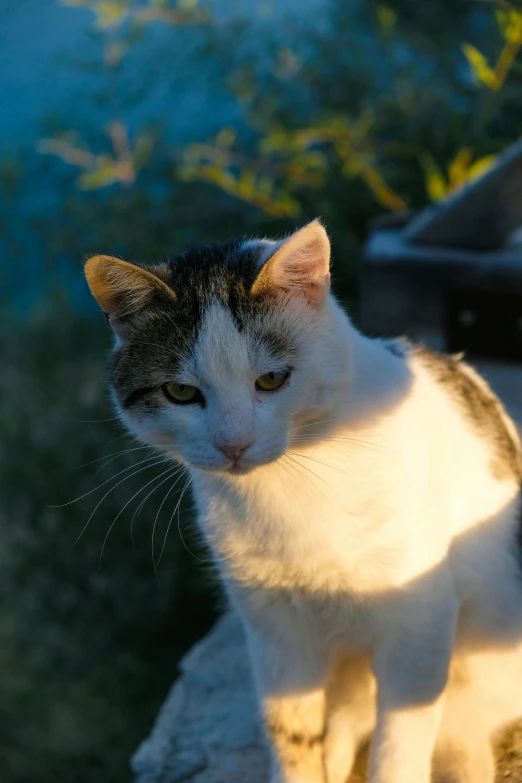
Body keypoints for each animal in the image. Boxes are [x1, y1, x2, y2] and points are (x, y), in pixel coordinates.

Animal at [83, 220, 520, 783]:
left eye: (272, 379)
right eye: (180, 392)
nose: (233, 443)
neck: (287, 488)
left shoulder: (419, 619)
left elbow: (398, 744)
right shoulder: (274, 630)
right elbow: (290, 733)